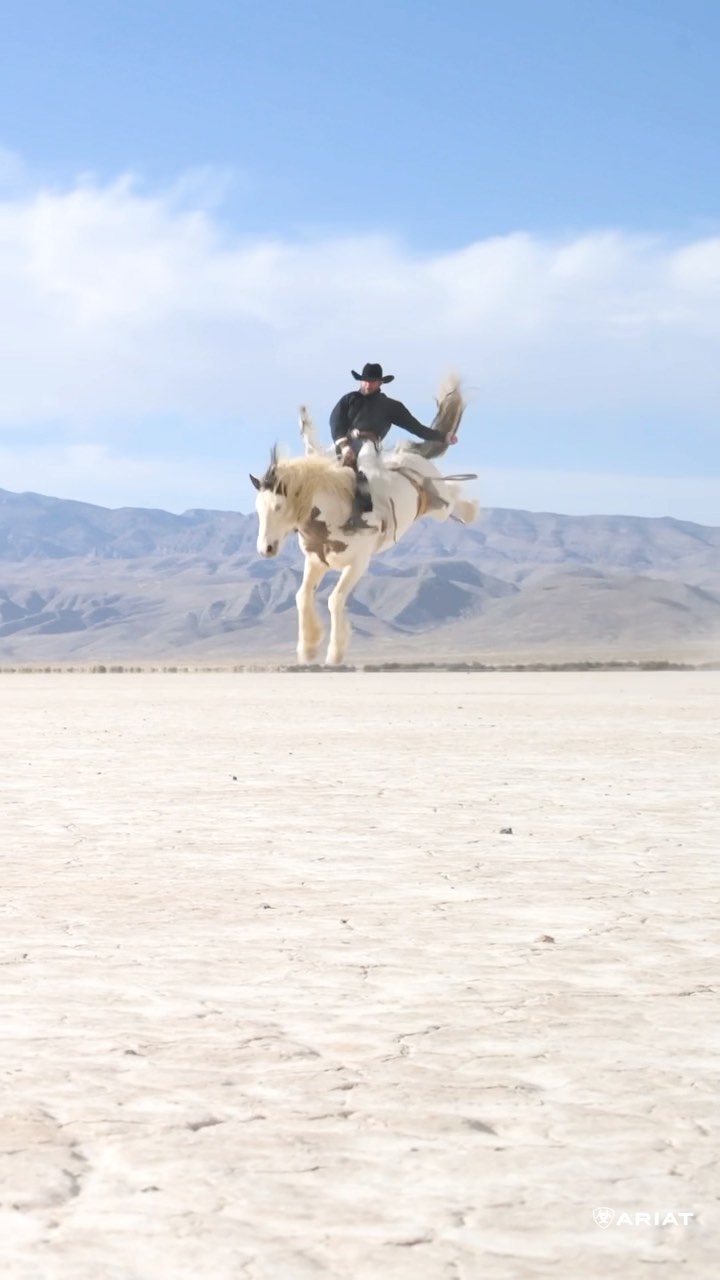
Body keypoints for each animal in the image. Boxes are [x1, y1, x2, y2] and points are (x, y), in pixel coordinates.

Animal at [249, 376, 478, 666]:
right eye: (258, 510)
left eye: (278, 507)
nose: (265, 549)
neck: (336, 510)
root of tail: (408, 456)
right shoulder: (316, 562)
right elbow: (302, 596)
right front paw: (308, 649)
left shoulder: (358, 564)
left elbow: (335, 599)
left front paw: (334, 653)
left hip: (439, 503)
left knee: (453, 496)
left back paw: (471, 511)